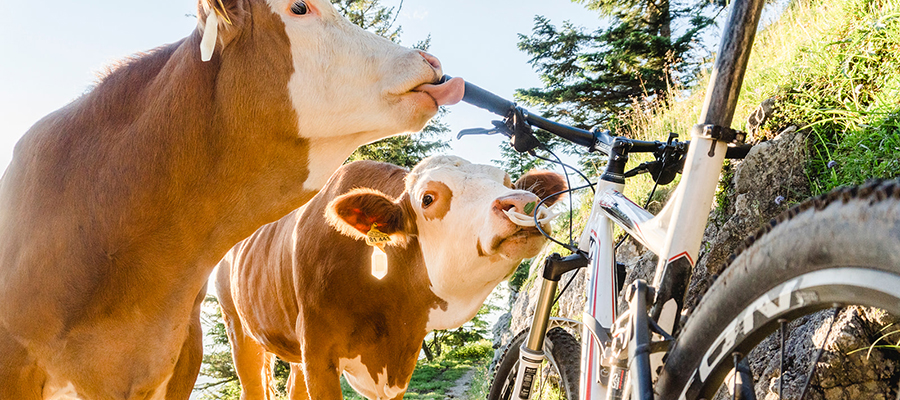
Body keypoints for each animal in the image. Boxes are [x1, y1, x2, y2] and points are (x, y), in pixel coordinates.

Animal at [214, 156, 568, 400]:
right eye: (427, 198)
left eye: (509, 182)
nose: (522, 202)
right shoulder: (318, 353)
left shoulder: (402, 357)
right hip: (239, 330)